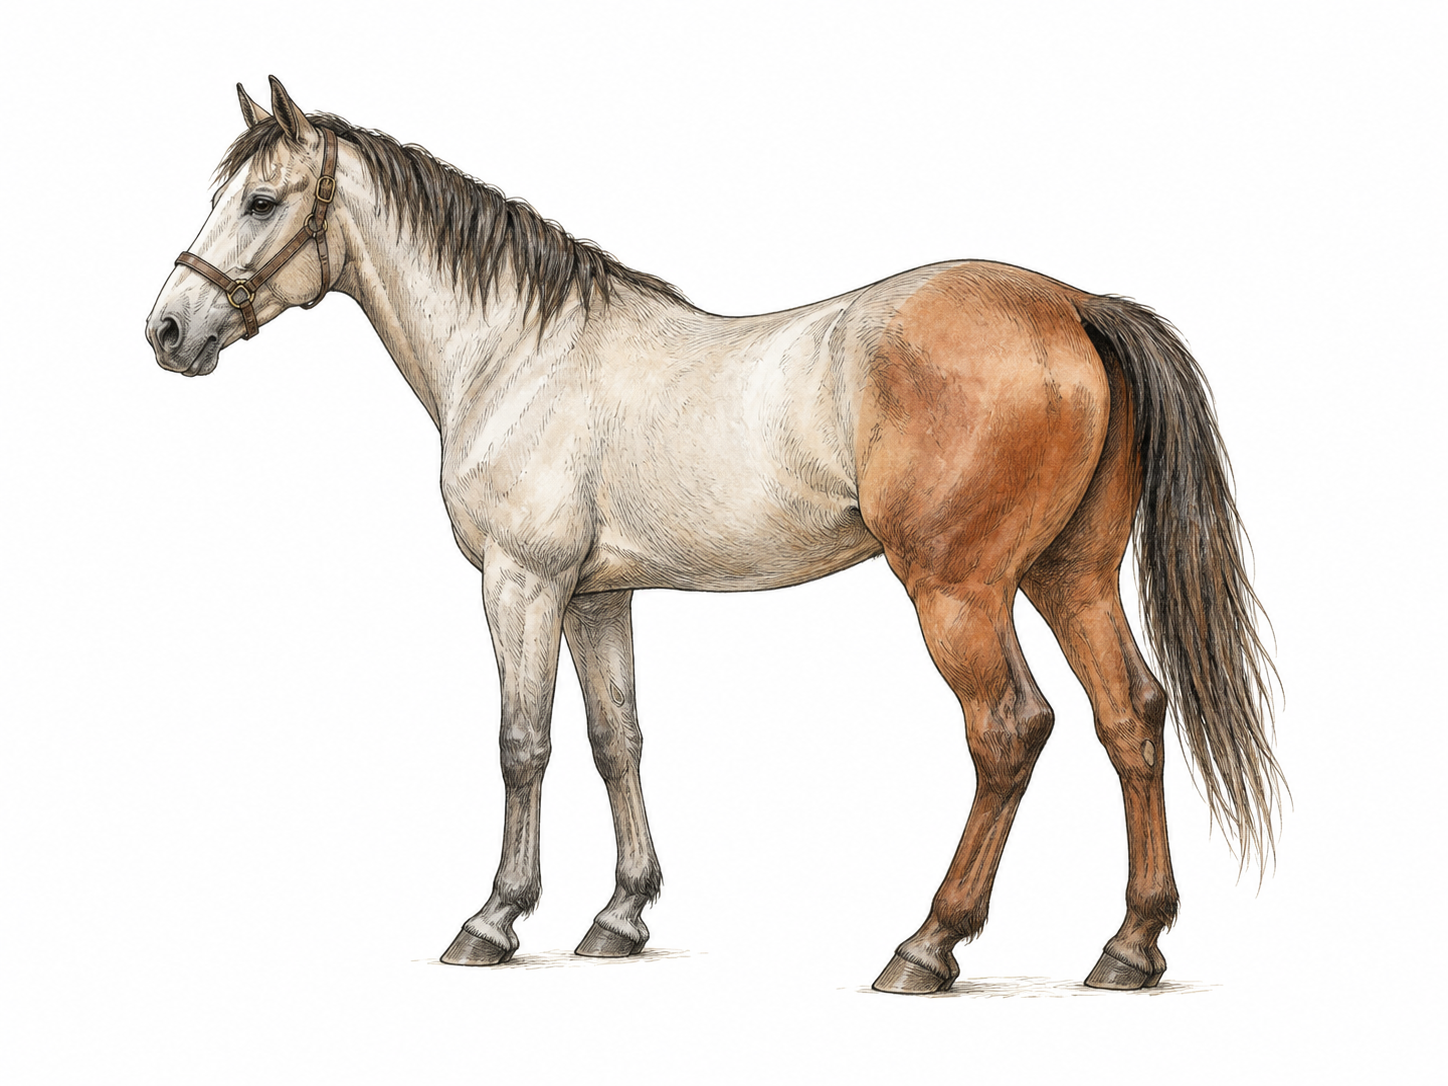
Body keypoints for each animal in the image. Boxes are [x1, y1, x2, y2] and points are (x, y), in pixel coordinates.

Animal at [145, 77, 1282, 994]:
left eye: (259, 200)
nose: (167, 330)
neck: (519, 351)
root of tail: (1072, 307)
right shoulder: (597, 595)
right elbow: (616, 740)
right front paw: (619, 917)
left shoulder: (520, 583)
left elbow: (521, 744)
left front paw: (493, 920)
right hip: (1067, 575)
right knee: (1130, 716)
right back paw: (1129, 947)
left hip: (959, 591)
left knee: (1008, 730)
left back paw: (927, 946)